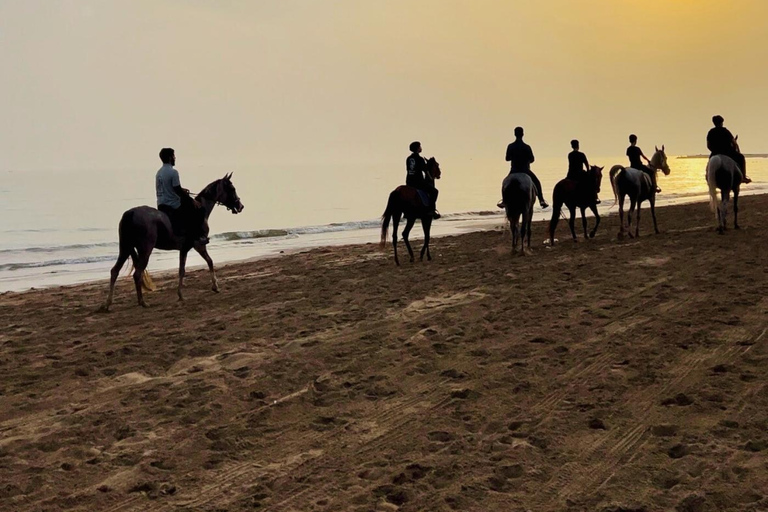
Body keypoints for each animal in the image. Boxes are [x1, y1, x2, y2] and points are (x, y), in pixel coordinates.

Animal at [103, 172, 243, 310]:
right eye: (232, 189)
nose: (240, 206)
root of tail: (130, 214)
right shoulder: (198, 245)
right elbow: (206, 263)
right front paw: (213, 287)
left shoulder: (185, 248)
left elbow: (186, 268)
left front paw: (183, 294)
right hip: (145, 249)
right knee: (137, 274)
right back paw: (142, 302)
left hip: (125, 248)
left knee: (115, 271)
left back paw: (108, 304)